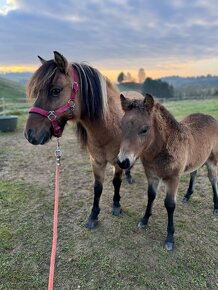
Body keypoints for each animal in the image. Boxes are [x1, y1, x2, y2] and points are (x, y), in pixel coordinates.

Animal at [24, 51, 142, 229]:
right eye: (38, 91)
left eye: (55, 90)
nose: (29, 133)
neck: (109, 127)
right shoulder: (96, 161)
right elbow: (98, 188)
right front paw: (93, 215)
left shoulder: (117, 161)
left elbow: (116, 182)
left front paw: (116, 205)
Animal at [117, 92, 218, 249]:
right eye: (121, 126)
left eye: (144, 129)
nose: (123, 162)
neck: (162, 150)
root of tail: (210, 117)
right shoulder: (152, 175)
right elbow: (151, 196)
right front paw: (144, 220)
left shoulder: (173, 178)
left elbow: (170, 205)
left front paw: (170, 238)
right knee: (194, 172)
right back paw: (187, 195)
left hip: (212, 161)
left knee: (213, 179)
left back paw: (216, 207)